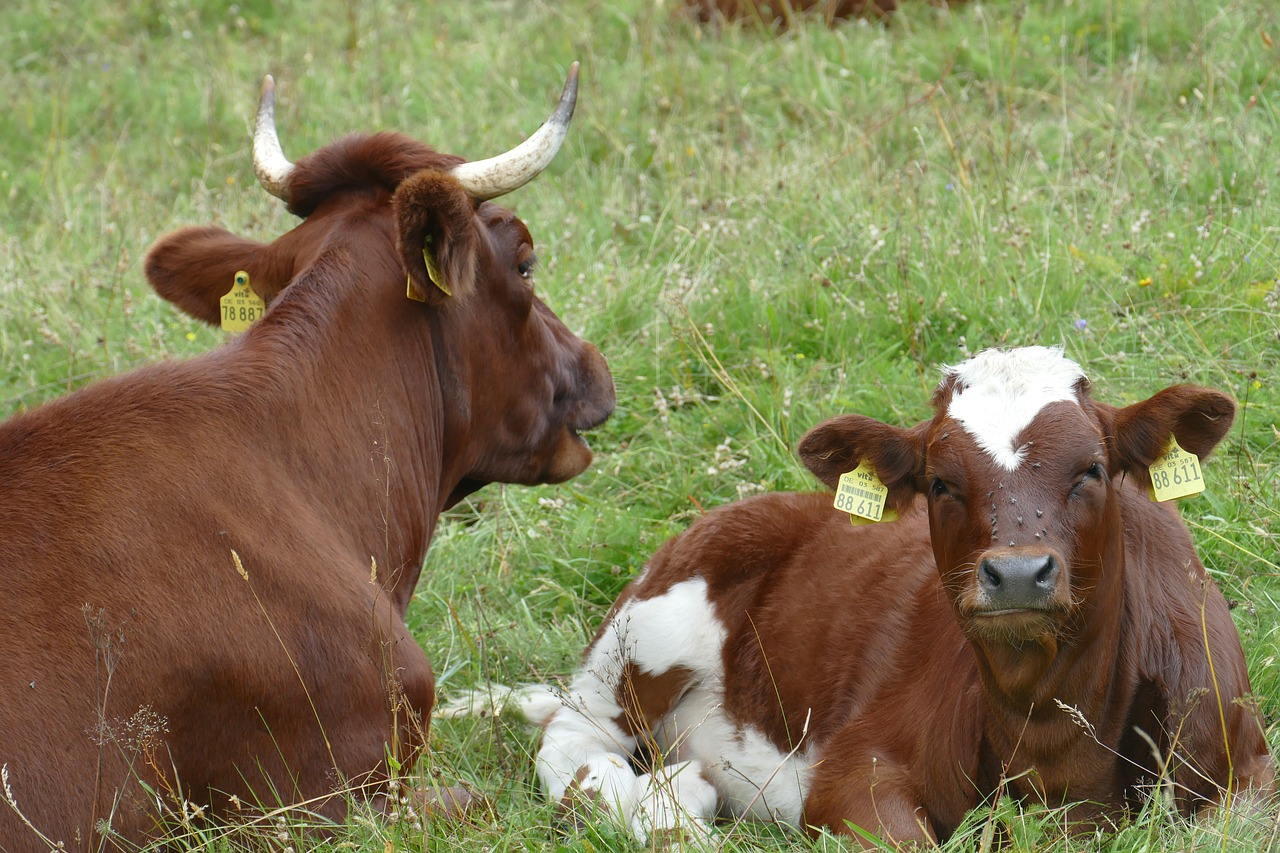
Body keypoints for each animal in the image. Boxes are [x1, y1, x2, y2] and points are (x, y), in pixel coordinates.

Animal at [519, 345, 1269, 845]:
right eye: (940, 481)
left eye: (1092, 469)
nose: (1017, 573)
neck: (1053, 744)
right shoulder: (854, 770)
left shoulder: (1248, 773)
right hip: (644, 638)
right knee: (573, 749)